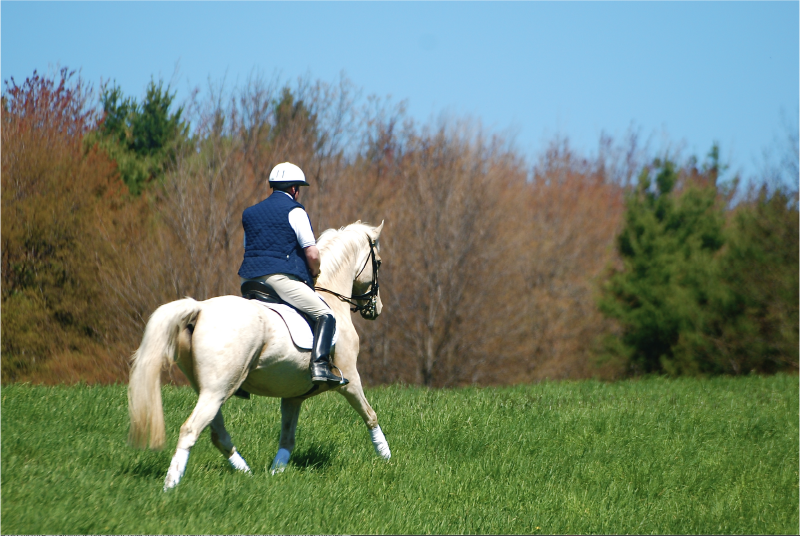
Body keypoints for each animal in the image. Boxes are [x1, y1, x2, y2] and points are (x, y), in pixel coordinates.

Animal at [126, 219, 390, 490]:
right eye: (378, 263)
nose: (376, 309)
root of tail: (200, 308)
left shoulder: (293, 396)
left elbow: (287, 439)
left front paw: (276, 473)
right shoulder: (349, 379)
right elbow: (370, 415)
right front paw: (386, 456)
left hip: (209, 389)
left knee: (217, 434)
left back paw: (245, 473)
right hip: (216, 390)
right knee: (191, 429)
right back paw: (171, 484)